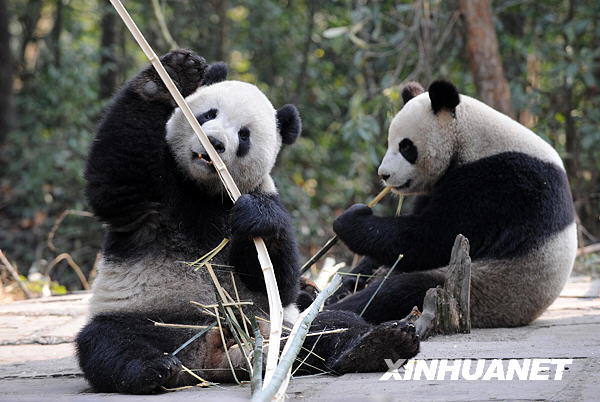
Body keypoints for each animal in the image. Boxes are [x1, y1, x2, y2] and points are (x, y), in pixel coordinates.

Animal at [75, 49, 420, 392]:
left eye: (244, 135)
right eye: (208, 115)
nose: (214, 143)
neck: (204, 190)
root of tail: (211, 358)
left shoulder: (259, 194)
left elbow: (278, 281)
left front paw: (257, 218)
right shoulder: (157, 196)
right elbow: (116, 179)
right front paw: (171, 76)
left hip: (271, 325)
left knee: (327, 328)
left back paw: (379, 344)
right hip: (153, 317)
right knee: (109, 341)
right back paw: (154, 369)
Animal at [328, 79, 576, 330]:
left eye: (406, 147)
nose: (384, 174)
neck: (469, 138)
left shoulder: (501, 184)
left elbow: (434, 237)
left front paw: (351, 220)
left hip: (487, 287)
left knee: (400, 291)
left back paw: (335, 313)